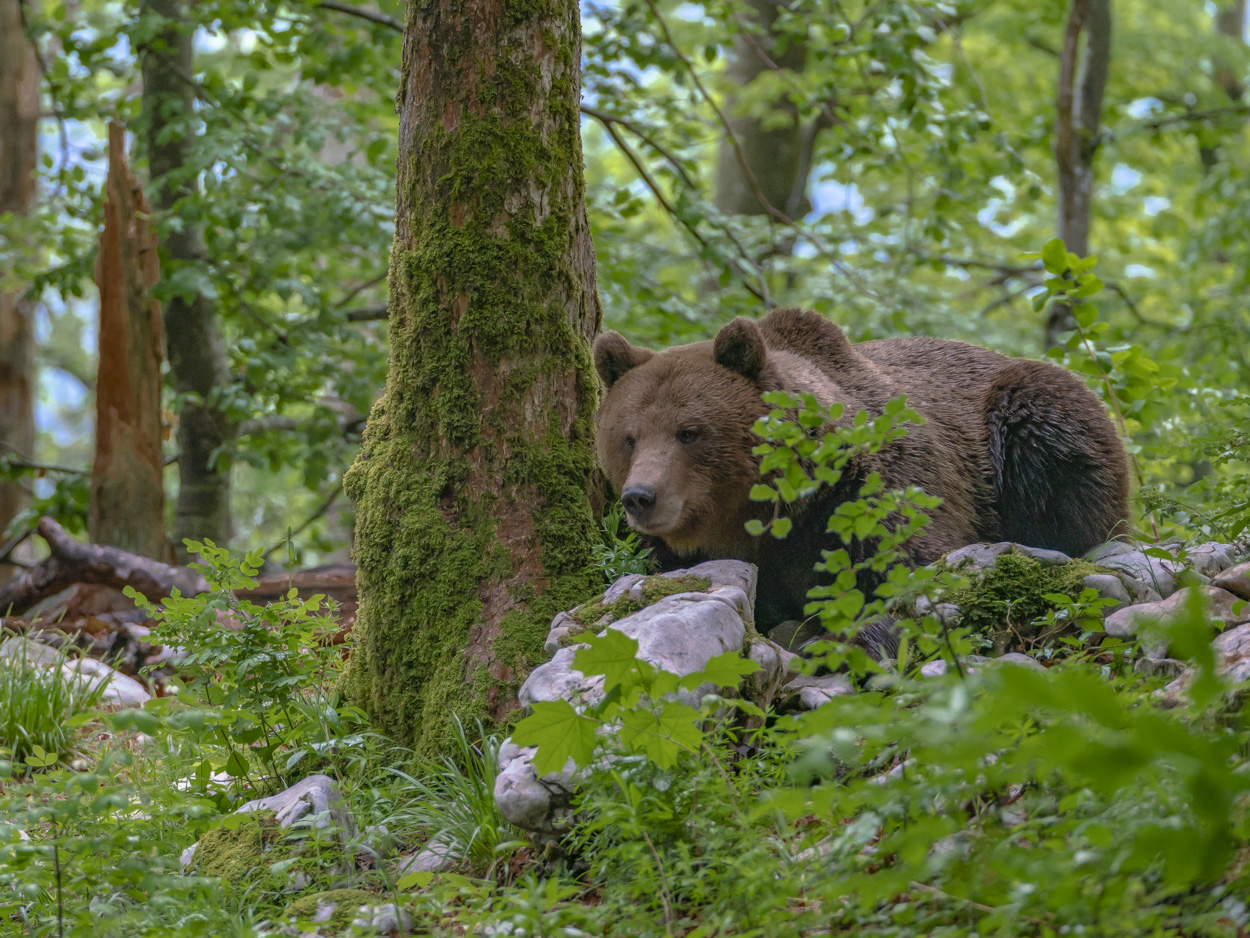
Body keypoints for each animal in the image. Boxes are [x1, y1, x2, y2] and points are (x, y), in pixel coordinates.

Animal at [595, 308, 1135, 640]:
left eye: (689, 432)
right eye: (630, 436)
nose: (641, 496)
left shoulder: (866, 499)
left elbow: (904, 573)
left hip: (1029, 421)